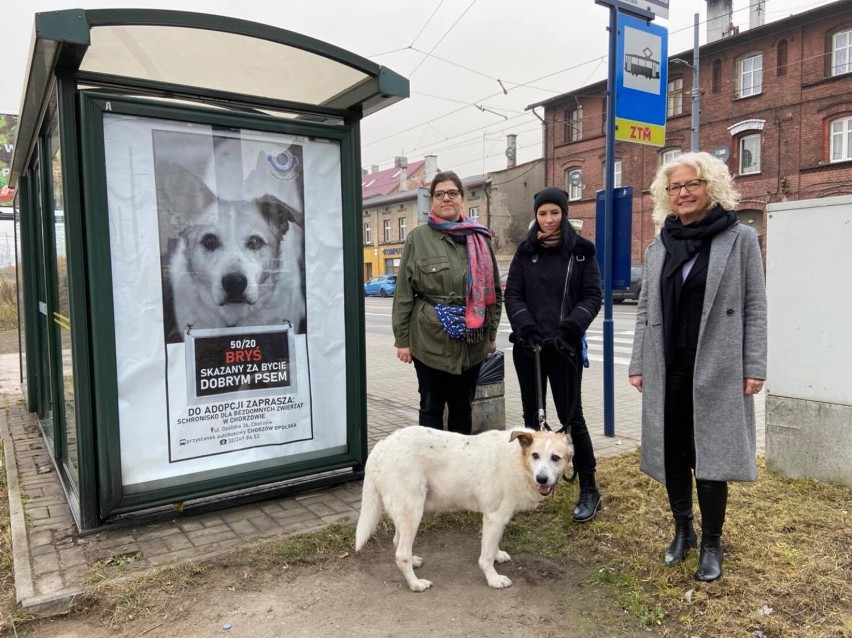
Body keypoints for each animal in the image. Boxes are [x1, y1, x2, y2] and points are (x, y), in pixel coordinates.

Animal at [352, 428, 572, 592]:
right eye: (536, 455)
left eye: (555, 458)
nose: (542, 479)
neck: (519, 460)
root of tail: (382, 444)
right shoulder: (495, 517)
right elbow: (485, 557)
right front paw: (493, 579)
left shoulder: (495, 520)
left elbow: (492, 545)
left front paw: (498, 555)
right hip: (413, 511)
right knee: (401, 554)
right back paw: (416, 584)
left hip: (406, 512)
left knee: (397, 542)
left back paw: (414, 562)